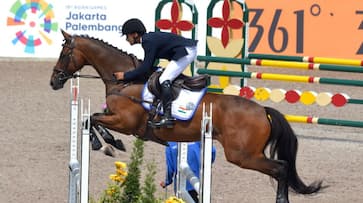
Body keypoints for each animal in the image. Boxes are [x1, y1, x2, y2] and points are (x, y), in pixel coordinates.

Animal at [50, 29, 324, 203]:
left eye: (64, 54)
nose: (54, 81)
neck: (125, 80)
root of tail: (262, 111)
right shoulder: (114, 116)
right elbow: (92, 118)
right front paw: (109, 143)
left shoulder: (125, 122)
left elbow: (93, 119)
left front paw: (107, 144)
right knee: (283, 168)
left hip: (242, 155)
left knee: (281, 168)